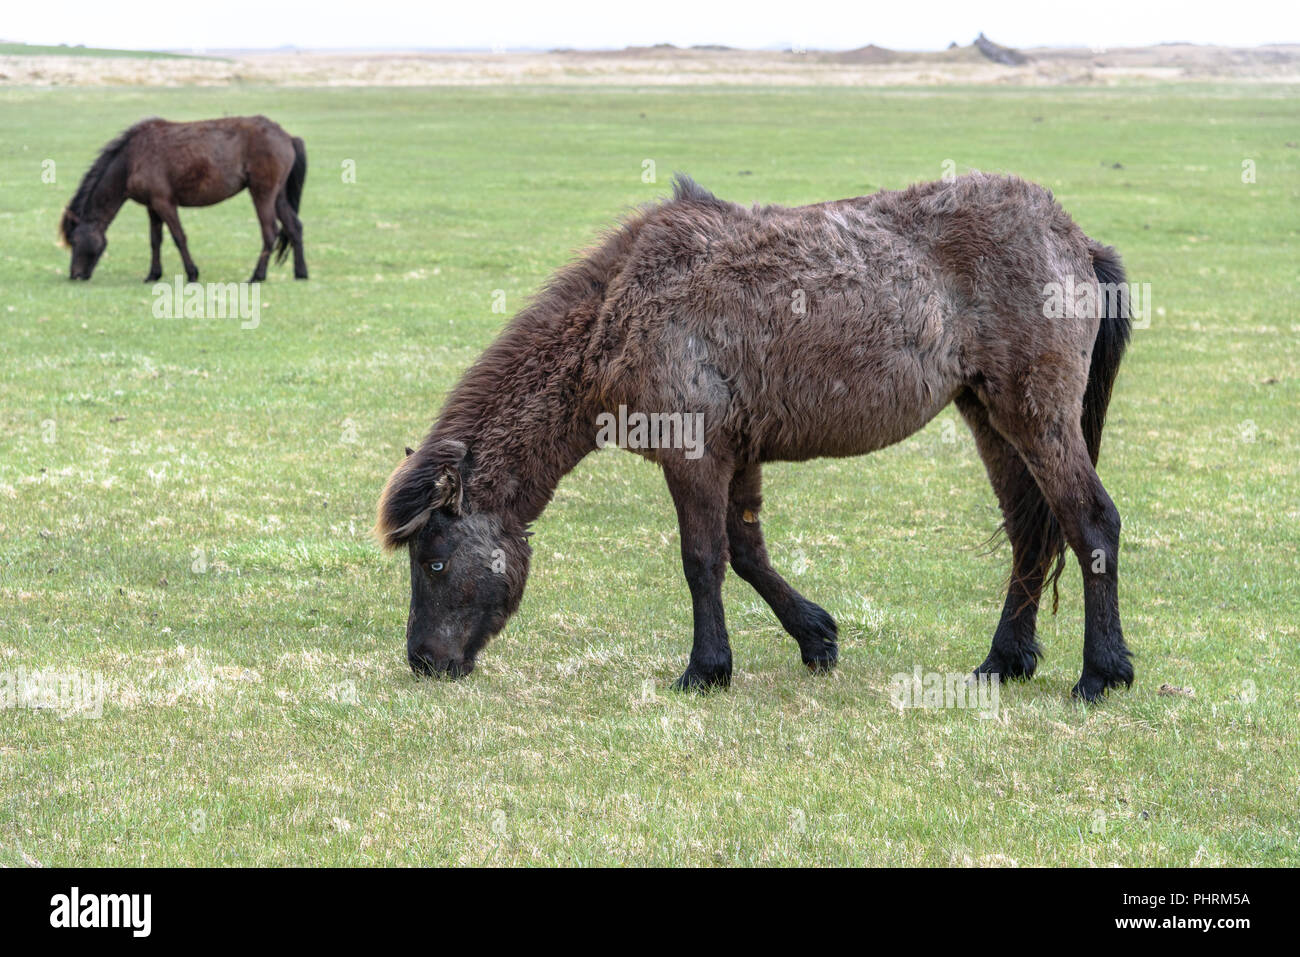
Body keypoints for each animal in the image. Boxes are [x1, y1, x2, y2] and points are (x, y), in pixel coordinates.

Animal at [60, 116, 308, 282]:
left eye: (75, 240)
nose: (75, 275)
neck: (132, 158)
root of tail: (287, 137)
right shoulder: (152, 207)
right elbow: (155, 241)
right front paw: (153, 274)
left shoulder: (165, 203)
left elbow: (179, 238)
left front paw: (192, 273)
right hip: (278, 197)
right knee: (294, 227)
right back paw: (301, 273)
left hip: (262, 194)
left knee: (270, 232)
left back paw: (257, 276)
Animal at [376, 173, 1134, 702]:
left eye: (433, 562)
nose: (423, 661)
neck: (623, 308)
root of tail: (1075, 238)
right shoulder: (736, 455)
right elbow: (746, 552)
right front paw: (816, 637)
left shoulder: (693, 455)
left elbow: (702, 560)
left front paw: (706, 669)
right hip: (992, 418)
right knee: (1031, 533)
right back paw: (1003, 661)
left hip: (1036, 418)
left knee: (1090, 522)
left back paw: (1101, 672)